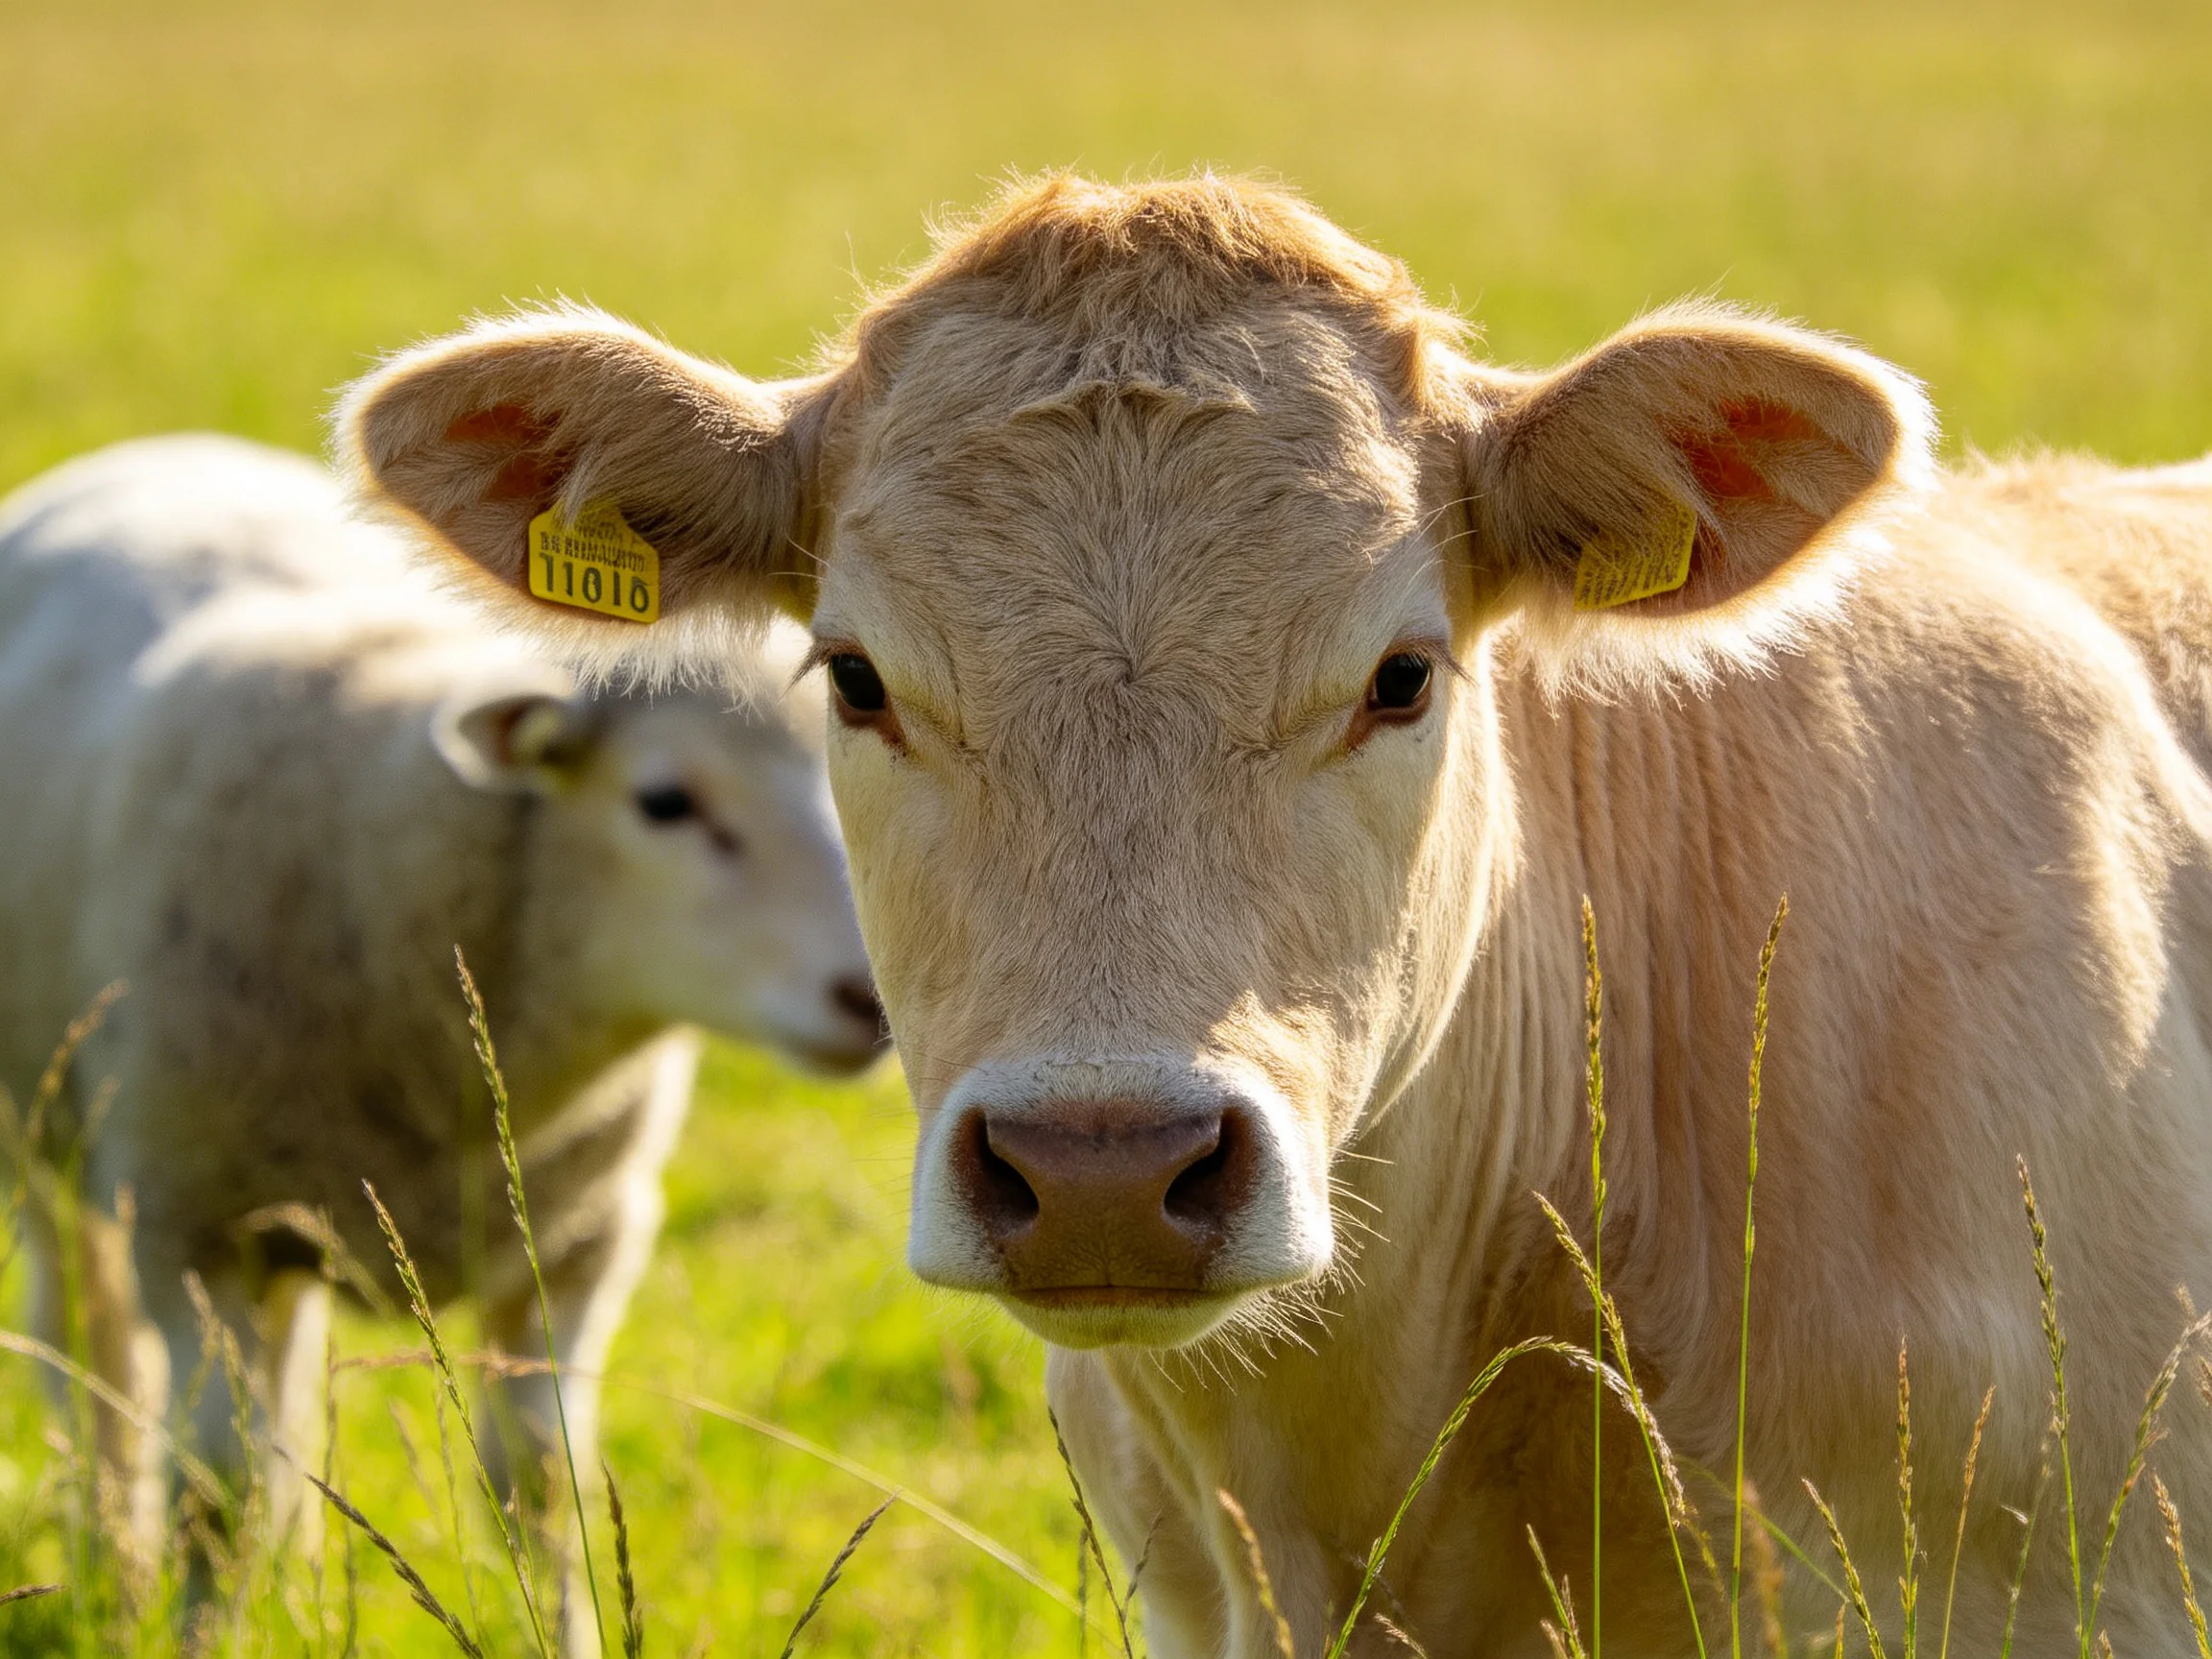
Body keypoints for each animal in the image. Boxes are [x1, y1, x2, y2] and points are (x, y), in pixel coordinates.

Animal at [0, 434, 884, 1621]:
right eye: (663, 801)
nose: (869, 999)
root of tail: (159, 448)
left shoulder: (578, 1239)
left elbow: (543, 1488)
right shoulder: (192, 1224)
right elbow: (213, 1496)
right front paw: (198, 1622)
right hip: (51, 1129)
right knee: (88, 1349)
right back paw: (117, 1552)